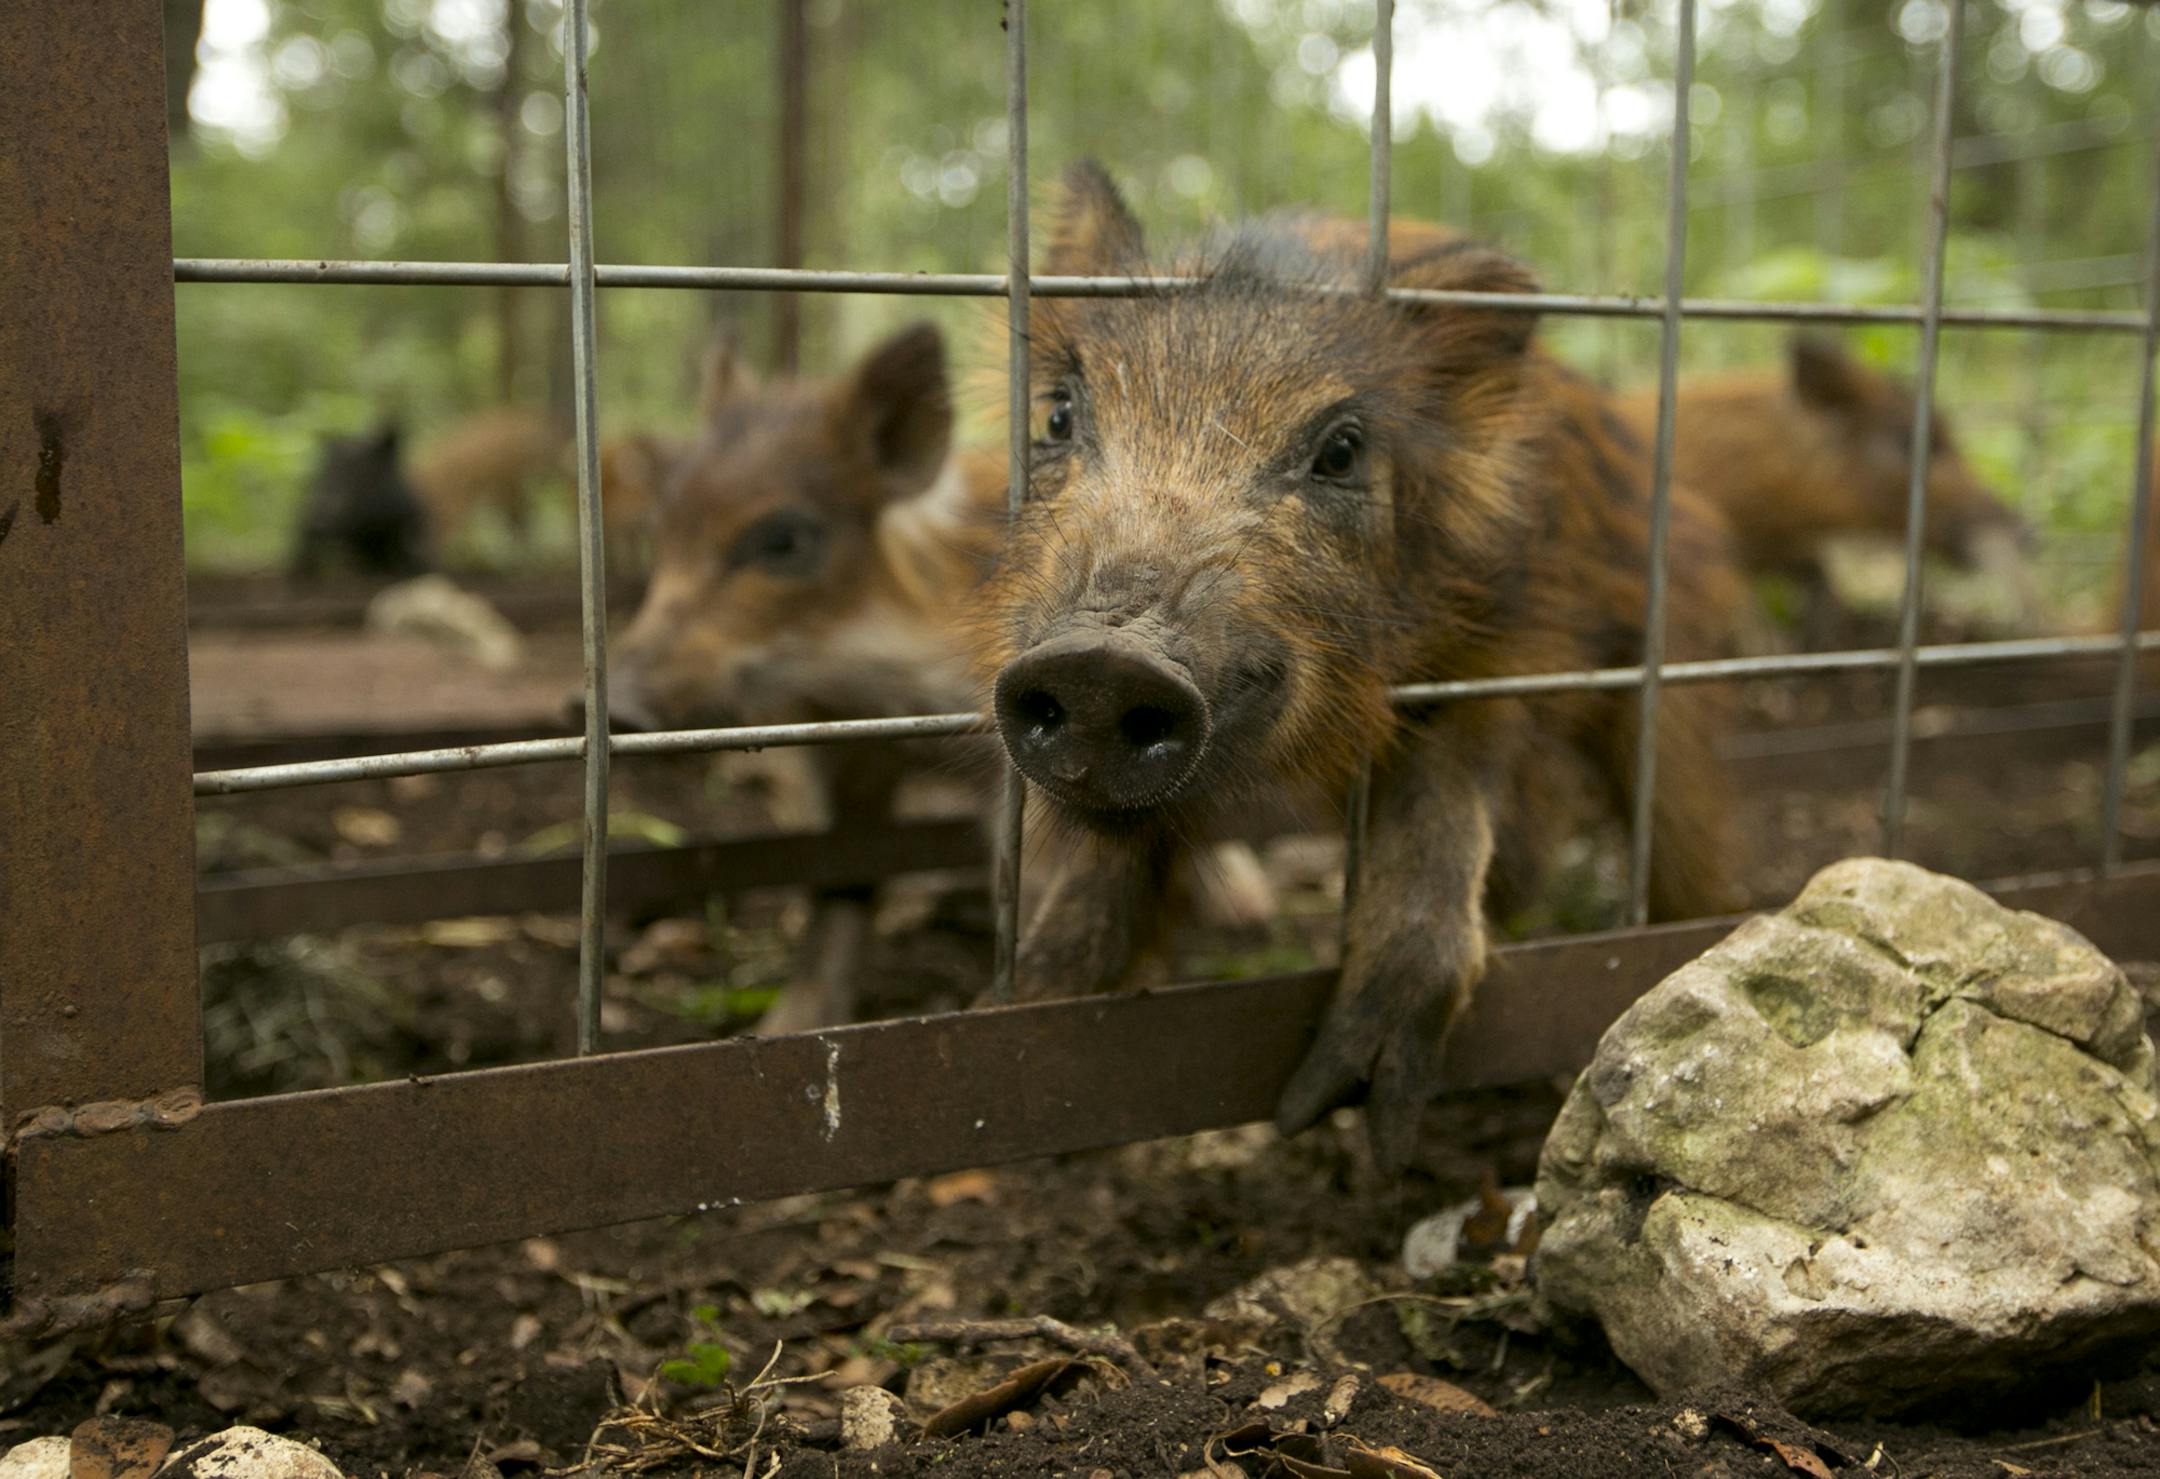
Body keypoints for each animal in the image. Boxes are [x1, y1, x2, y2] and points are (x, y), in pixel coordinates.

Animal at [973, 164, 1749, 1168]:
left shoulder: (1511, 641)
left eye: (1340, 450)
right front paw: (1023, 1008)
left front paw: (1350, 1116)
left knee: (1679, 833)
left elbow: (1446, 787)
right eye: (1061, 414)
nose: (1103, 659)